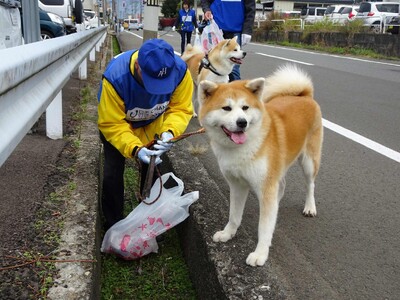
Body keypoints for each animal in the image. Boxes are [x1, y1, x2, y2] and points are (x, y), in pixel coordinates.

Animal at [198, 64, 324, 266]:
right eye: (226, 108)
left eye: (245, 108)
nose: (242, 122)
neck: (241, 148)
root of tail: (304, 95)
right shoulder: (237, 184)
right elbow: (234, 215)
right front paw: (227, 233)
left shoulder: (266, 185)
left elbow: (264, 228)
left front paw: (260, 254)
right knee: (281, 187)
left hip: (308, 161)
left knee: (310, 185)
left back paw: (310, 207)